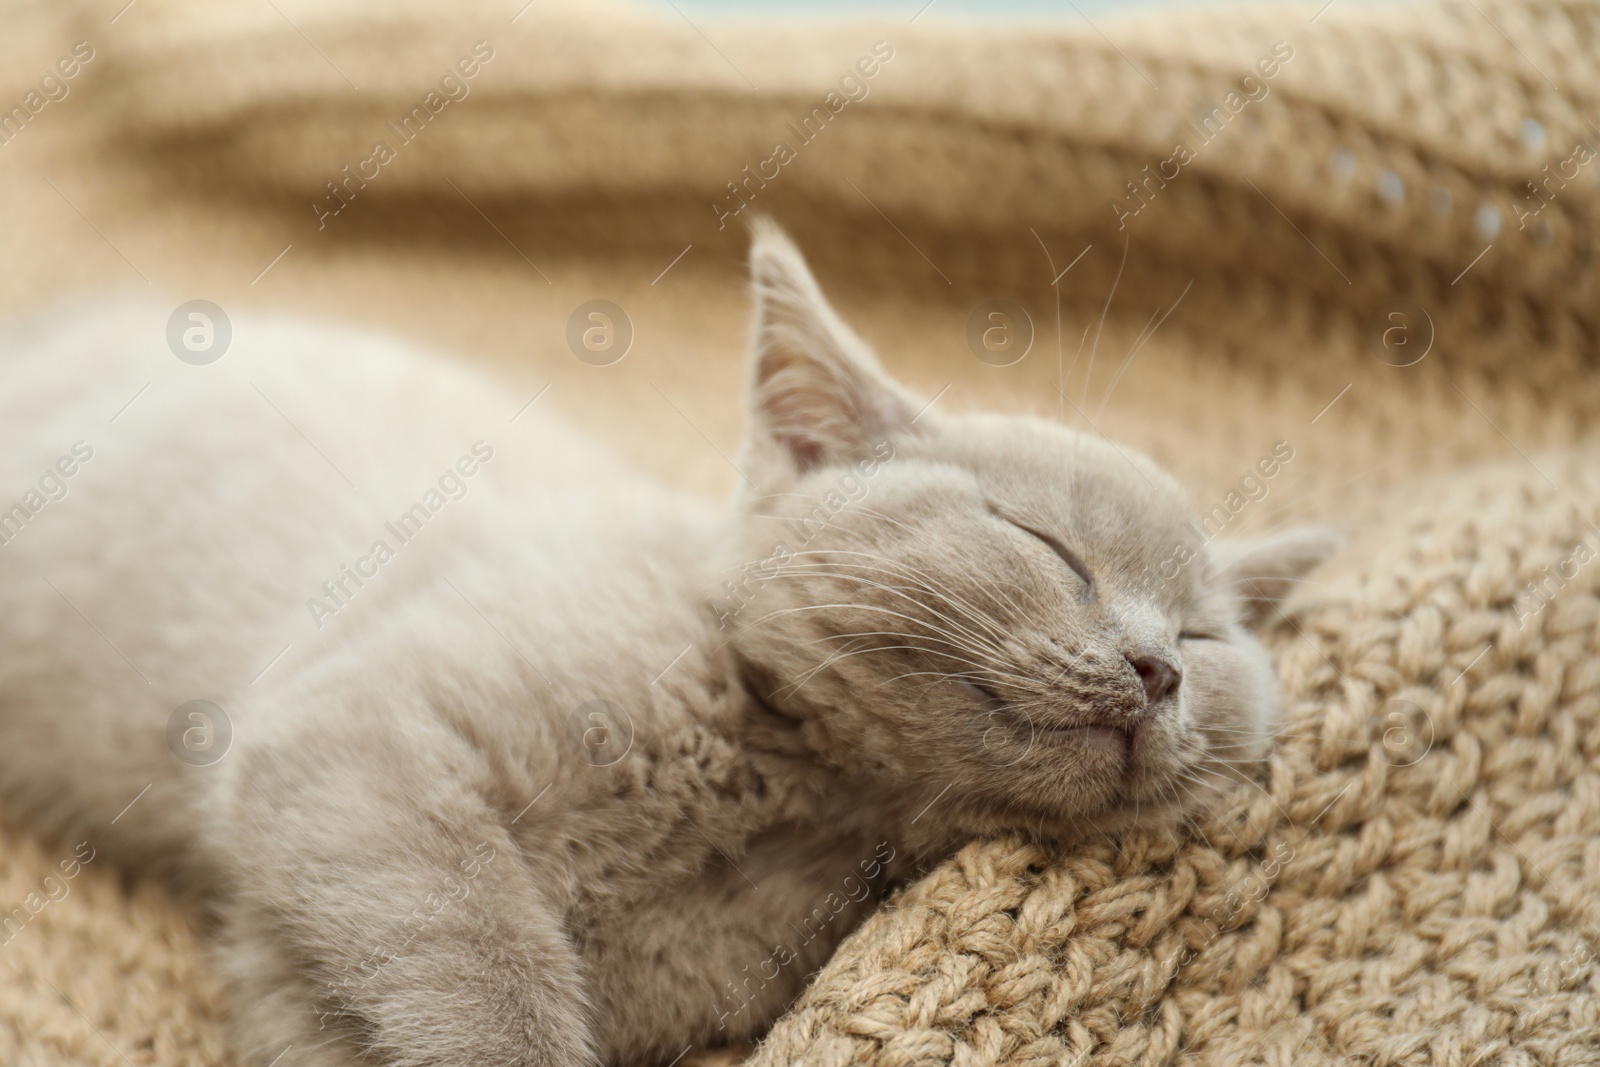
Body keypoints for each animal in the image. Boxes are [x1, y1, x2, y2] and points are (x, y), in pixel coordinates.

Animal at [0, 220, 1331, 1062]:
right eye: (1050, 546)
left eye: (1205, 632)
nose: (1159, 667)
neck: (787, 790)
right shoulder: (349, 739)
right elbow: (481, 966)